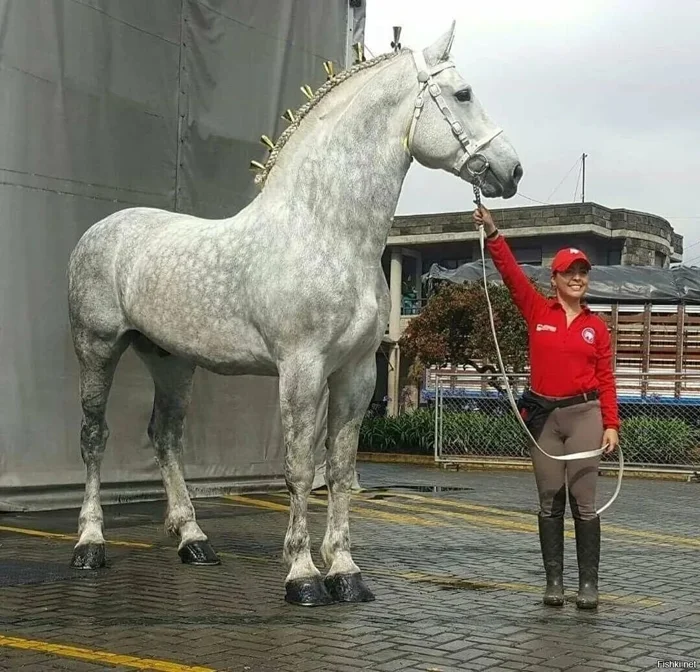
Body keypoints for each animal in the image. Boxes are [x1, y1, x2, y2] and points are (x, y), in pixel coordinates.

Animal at [67, 23, 520, 608]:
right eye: (463, 94)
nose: (512, 170)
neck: (326, 231)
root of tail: (100, 231)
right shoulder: (301, 370)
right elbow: (300, 468)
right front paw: (303, 575)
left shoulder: (356, 373)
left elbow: (341, 468)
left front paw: (346, 572)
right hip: (97, 347)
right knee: (94, 437)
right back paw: (89, 544)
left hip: (172, 360)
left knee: (165, 436)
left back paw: (193, 540)